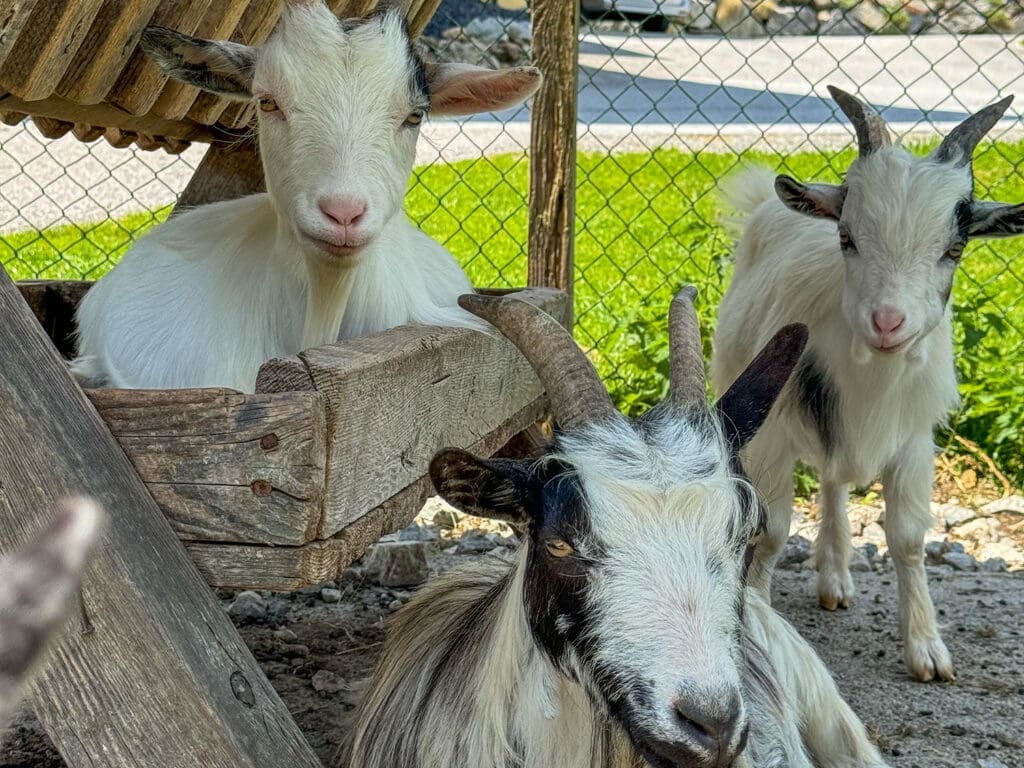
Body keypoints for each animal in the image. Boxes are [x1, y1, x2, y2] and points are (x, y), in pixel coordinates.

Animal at [712, 85, 1024, 684]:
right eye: (847, 237)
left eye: (954, 249)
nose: (887, 323)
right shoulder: (775, 432)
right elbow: (773, 530)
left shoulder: (914, 437)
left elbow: (907, 539)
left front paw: (927, 649)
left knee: (834, 483)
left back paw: (836, 578)